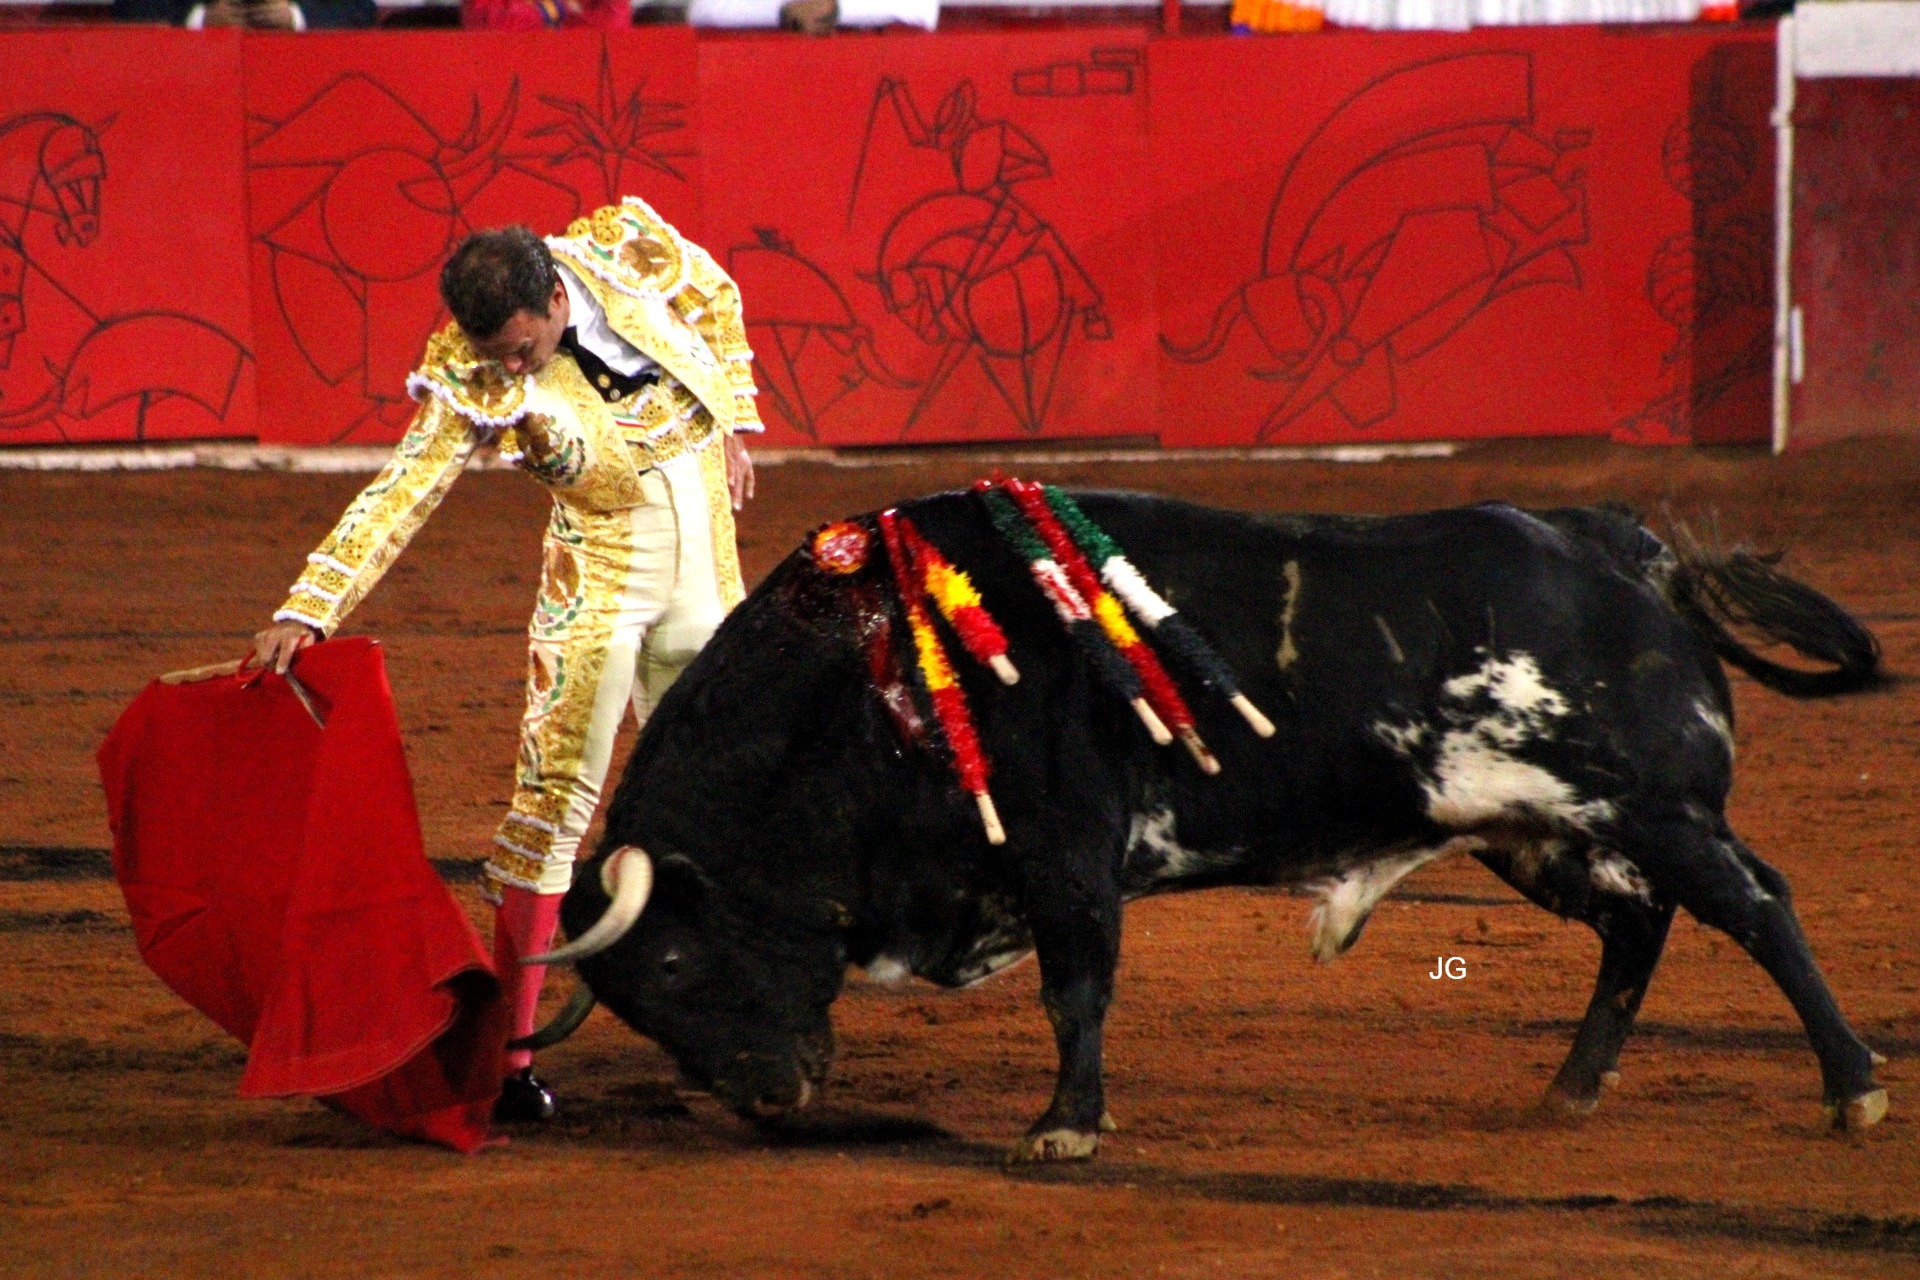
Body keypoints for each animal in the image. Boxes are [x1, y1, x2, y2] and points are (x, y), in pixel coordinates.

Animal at [528, 493, 1889, 1161]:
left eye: (675, 959)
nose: (772, 1098)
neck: (879, 674)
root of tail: (1627, 549)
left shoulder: (1066, 852)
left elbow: (1076, 988)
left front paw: (1065, 1127)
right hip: (1532, 824)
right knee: (1638, 922)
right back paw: (1570, 1089)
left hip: (1653, 806)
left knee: (1753, 905)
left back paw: (1854, 1088)